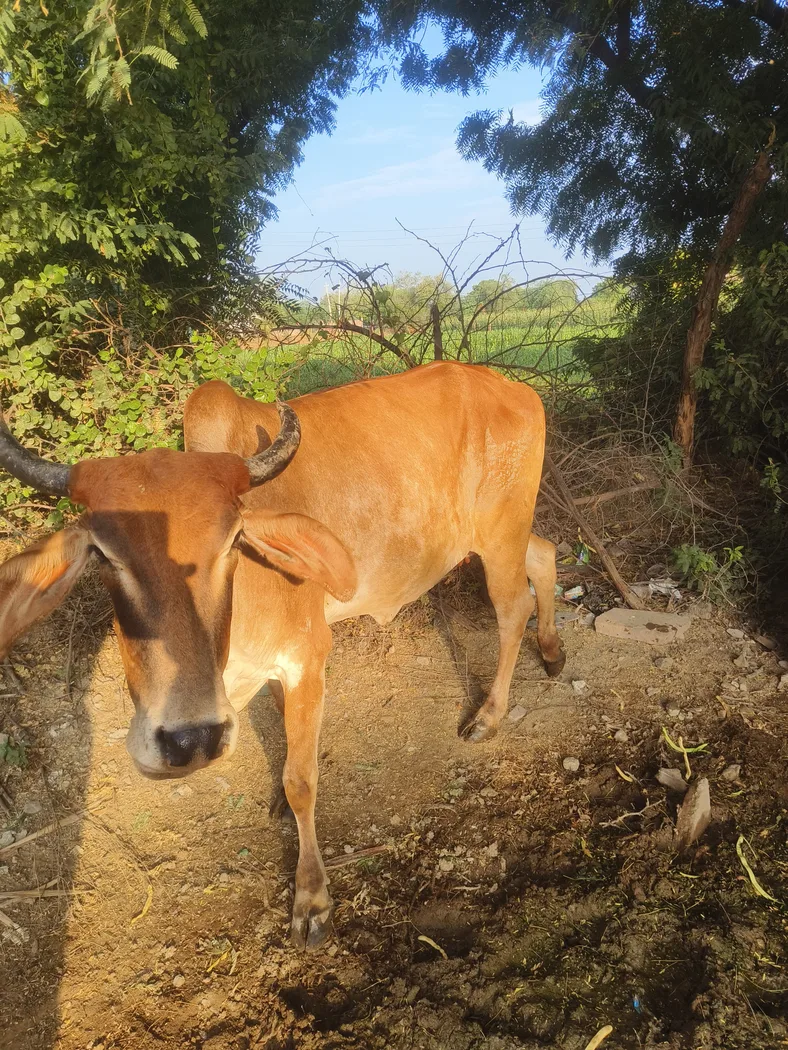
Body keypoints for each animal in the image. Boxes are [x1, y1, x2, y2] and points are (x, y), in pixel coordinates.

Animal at [0, 362, 565, 948]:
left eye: (232, 539)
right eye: (104, 554)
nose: (188, 739)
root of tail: (512, 388)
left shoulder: (307, 657)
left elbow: (301, 779)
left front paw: (311, 900)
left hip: (499, 536)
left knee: (513, 609)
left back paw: (489, 715)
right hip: (503, 536)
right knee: (545, 555)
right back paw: (552, 651)